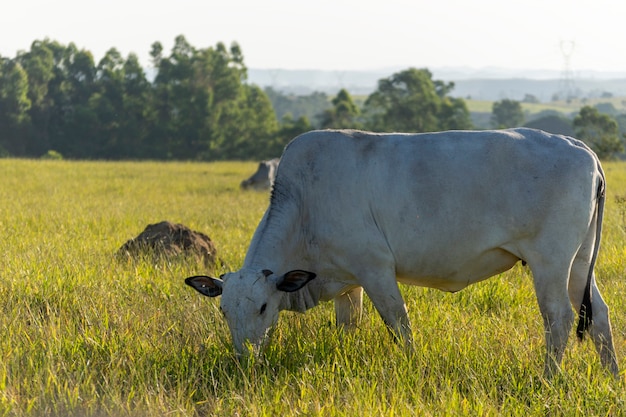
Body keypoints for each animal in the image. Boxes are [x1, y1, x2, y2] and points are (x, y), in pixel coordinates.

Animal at [184, 128, 616, 376]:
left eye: (262, 308)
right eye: (224, 312)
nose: (244, 359)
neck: (306, 206)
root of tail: (584, 150)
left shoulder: (375, 269)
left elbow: (399, 323)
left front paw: (413, 366)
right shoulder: (347, 282)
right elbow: (348, 328)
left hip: (550, 261)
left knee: (558, 318)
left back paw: (549, 377)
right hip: (580, 263)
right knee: (598, 316)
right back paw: (611, 376)